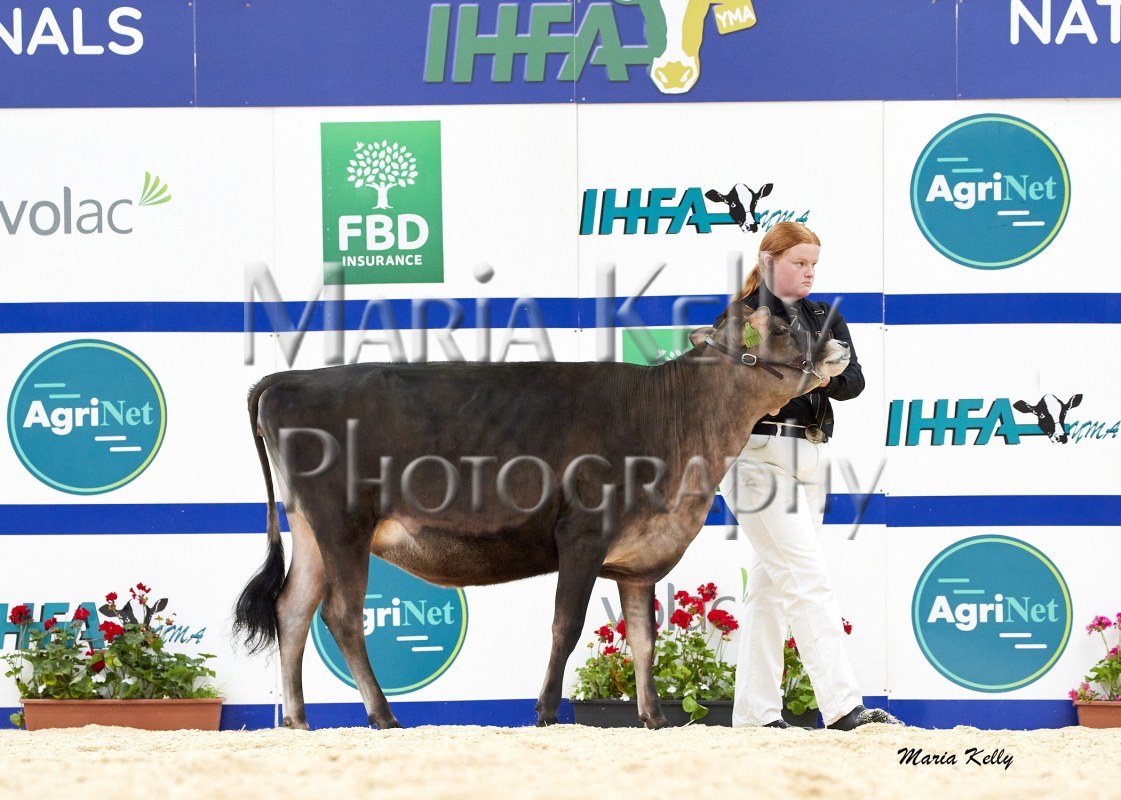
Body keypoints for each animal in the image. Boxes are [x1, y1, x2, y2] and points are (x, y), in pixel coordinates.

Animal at [234, 302, 851, 730]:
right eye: (777, 327)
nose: (840, 345)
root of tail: (286, 378)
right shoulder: (582, 535)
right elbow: (566, 624)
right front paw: (547, 710)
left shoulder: (637, 560)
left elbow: (643, 638)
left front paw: (653, 718)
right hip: (342, 524)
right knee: (340, 614)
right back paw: (382, 716)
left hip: (310, 528)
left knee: (292, 608)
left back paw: (298, 720)